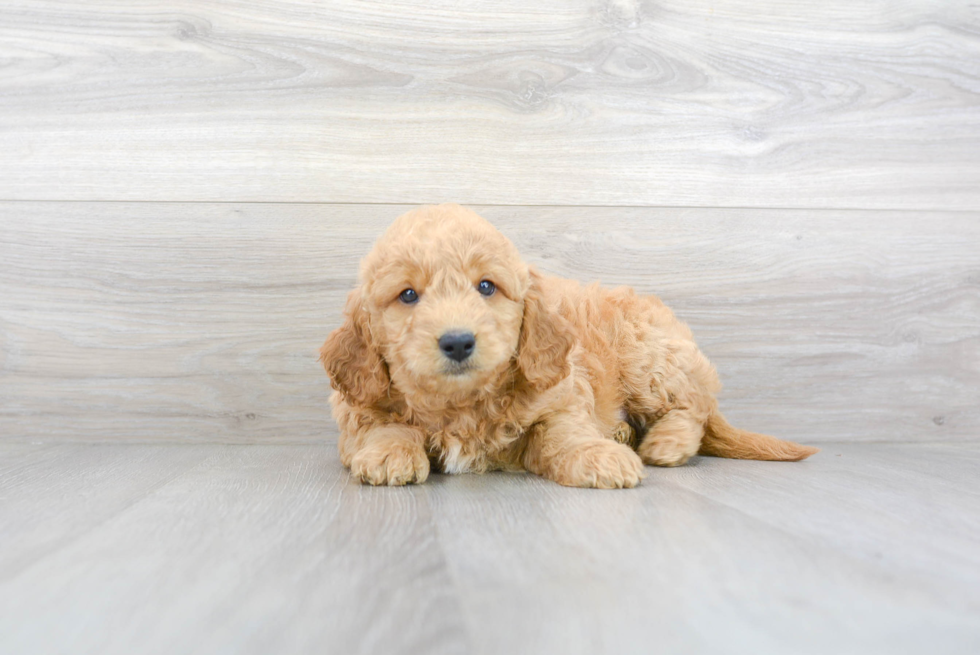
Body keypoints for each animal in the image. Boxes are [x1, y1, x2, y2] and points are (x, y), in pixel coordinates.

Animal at [322, 205, 820, 486]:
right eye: (407, 295)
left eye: (486, 286)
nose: (459, 342)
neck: (462, 404)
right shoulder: (356, 409)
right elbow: (385, 425)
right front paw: (389, 453)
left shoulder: (561, 394)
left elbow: (564, 434)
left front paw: (596, 456)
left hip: (649, 358)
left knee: (694, 404)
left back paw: (665, 442)